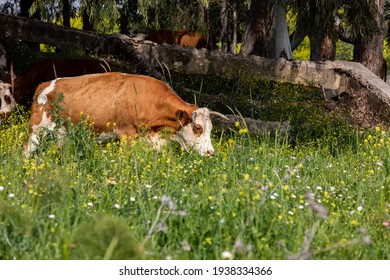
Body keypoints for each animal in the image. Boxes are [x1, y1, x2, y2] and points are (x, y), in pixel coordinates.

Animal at [25, 72, 229, 156]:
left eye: (211, 129)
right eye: (197, 127)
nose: (210, 152)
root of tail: (44, 85)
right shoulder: (126, 134)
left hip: (62, 135)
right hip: (36, 130)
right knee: (26, 152)